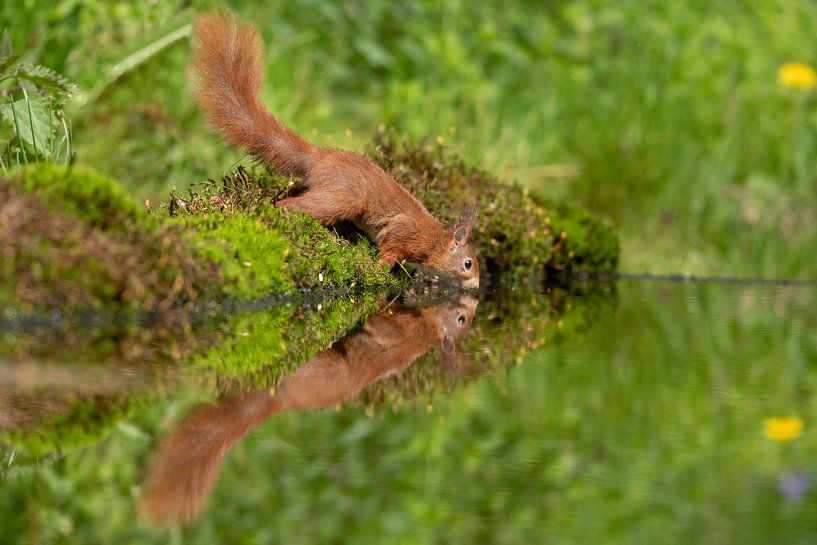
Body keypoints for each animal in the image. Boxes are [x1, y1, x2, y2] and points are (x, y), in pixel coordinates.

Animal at [191, 12, 479, 289]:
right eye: (468, 264)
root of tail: (319, 157)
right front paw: (383, 269)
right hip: (345, 195)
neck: (435, 242)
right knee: (295, 205)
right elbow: (390, 247)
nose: (476, 286)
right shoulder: (405, 232)